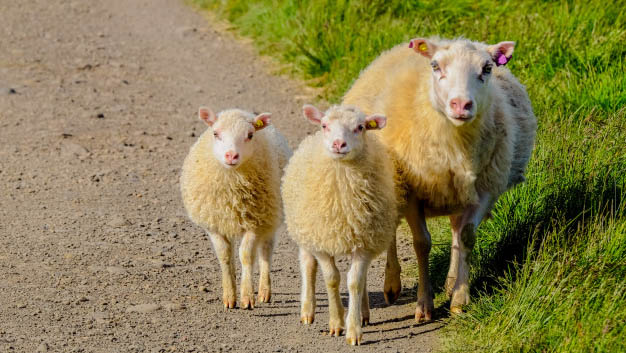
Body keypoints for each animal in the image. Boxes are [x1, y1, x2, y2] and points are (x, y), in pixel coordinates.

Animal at [179, 106, 288, 308]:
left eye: (250, 135)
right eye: (216, 133)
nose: (231, 155)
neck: (232, 188)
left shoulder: (255, 222)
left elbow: (246, 256)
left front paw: (247, 297)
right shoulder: (214, 225)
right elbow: (224, 256)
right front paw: (229, 296)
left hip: (270, 218)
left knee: (265, 253)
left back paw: (264, 291)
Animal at [282, 104, 398, 344]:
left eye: (361, 127)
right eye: (325, 125)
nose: (338, 144)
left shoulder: (364, 243)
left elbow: (355, 281)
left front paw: (353, 330)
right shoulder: (322, 242)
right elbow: (332, 279)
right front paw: (336, 322)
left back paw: (363, 313)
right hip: (305, 232)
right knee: (308, 264)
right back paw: (307, 310)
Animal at [342, 36, 536, 320]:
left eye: (487, 68)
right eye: (435, 66)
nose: (461, 105)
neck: (455, 143)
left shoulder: (485, 190)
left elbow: (466, 237)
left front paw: (459, 298)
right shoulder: (411, 190)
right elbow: (422, 243)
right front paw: (425, 304)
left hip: (458, 193)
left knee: (455, 228)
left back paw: (451, 280)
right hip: (387, 184)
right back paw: (391, 285)